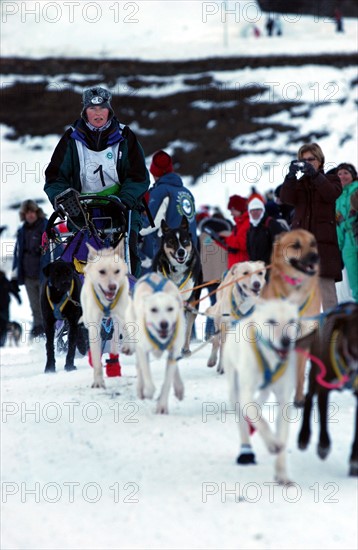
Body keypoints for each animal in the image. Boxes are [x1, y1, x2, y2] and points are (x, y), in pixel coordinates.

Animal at [81, 244, 130, 390]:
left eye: (117, 271)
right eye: (102, 272)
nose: (113, 286)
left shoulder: (122, 314)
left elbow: (125, 330)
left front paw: (127, 346)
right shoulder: (94, 326)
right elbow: (97, 356)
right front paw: (98, 381)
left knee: (115, 336)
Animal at [122, 274, 185, 416]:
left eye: (170, 308)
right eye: (153, 310)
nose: (164, 324)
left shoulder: (173, 351)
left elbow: (167, 382)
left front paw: (162, 405)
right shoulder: (142, 349)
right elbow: (146, 376)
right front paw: (148, 392)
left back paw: (179, 387)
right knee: (139, 367)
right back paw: (141, 388)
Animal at [225, 300, 300, 486]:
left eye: (292, 321)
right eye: (271, 321)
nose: (286, 341)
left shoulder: (284, 402)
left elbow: (282, 436)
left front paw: (282, 473)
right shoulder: (246, 395)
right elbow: (262, 421)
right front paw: (272, 443)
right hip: (233, 390)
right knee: (243, 421)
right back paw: (246, 449)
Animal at [260, 231, 322, 408]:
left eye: (313, 243)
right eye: (295, 245)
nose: (315, 256)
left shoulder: (304, 336)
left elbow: (300, 374)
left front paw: (299, 398)